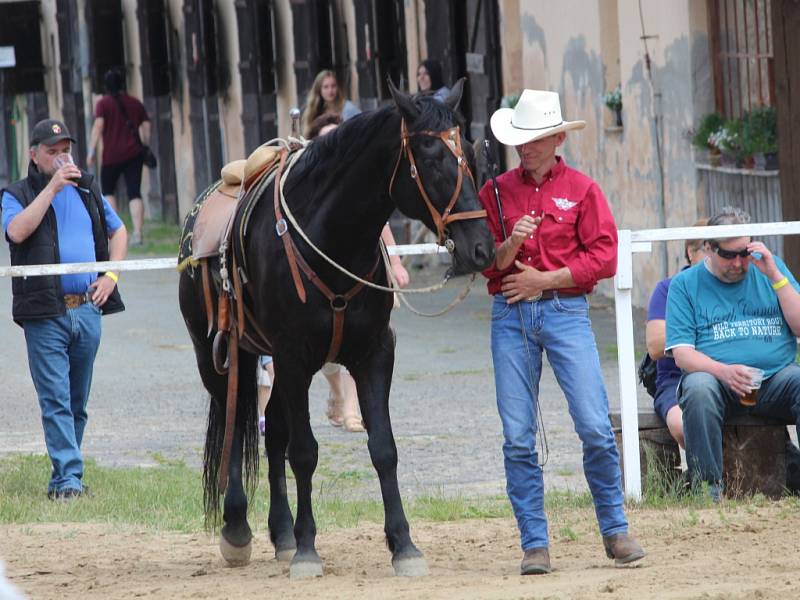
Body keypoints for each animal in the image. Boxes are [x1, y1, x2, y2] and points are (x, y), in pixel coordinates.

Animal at [179, 79, 496, 576]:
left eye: (468, 151)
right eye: (429, 158)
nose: (481, 247)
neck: (331, 237)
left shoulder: (374, 353)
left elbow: (383, 447)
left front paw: (403, 545)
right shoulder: (292, 357)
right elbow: (305, 453)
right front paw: (309, 549)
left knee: (274, 436)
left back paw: (282, 533)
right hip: (220, 358)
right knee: (237, 426)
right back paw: (238, 529)